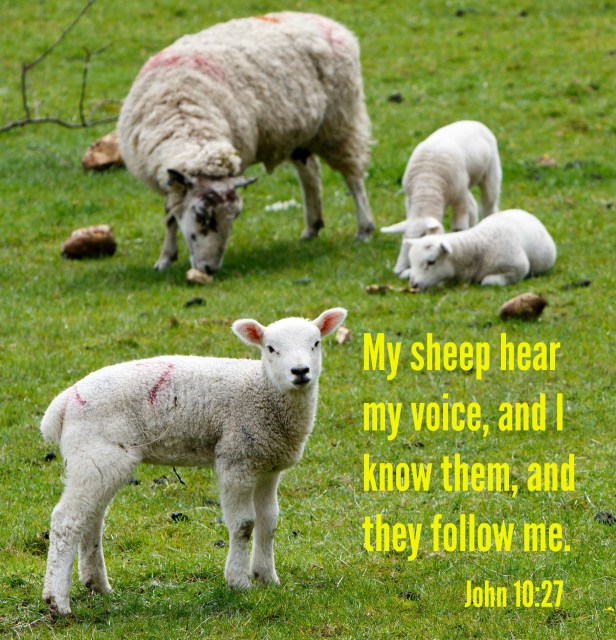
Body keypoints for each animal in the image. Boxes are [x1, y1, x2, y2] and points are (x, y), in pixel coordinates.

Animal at [40, 307, 347, 616]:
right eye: (271, 348)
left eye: (316, 343)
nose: (300, 371)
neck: (263, 391)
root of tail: (64, 403)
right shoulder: (236, 458)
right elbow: (244, 524)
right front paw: (238, 581)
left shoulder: (267, 464)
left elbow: (269, 521)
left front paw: (266, 577)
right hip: (95, 453)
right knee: (67, 521)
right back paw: (57, 600)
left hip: (98, 462)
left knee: (92, 517)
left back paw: (96, 583)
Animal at [117, 12, 374, 275]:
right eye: (200, 214)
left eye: (235, 217)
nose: (209, 269)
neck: (184, 114)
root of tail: (332, 24)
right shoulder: (170, 183)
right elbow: (170, 217)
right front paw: (165, 258)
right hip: (301, 134)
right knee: (310, 172)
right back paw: (312, 228)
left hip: (340, 122)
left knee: (353, 177)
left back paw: (364, 229)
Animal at [380, 120, 502, 276]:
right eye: (406, 240)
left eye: (424, 236)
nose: (402, 269)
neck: (427, 187)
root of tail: (471, 121)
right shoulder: (409, 202)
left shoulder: (459, 200)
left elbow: (459, 228)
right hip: (465, 184)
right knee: (473, 205)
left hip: (490, 174)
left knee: (488, 205)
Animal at [401, 209, 556, 290]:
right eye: (412, 262)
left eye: (431, 262)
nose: (413, 285)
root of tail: (522, 211)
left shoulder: (517, 268)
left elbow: (487, 282)